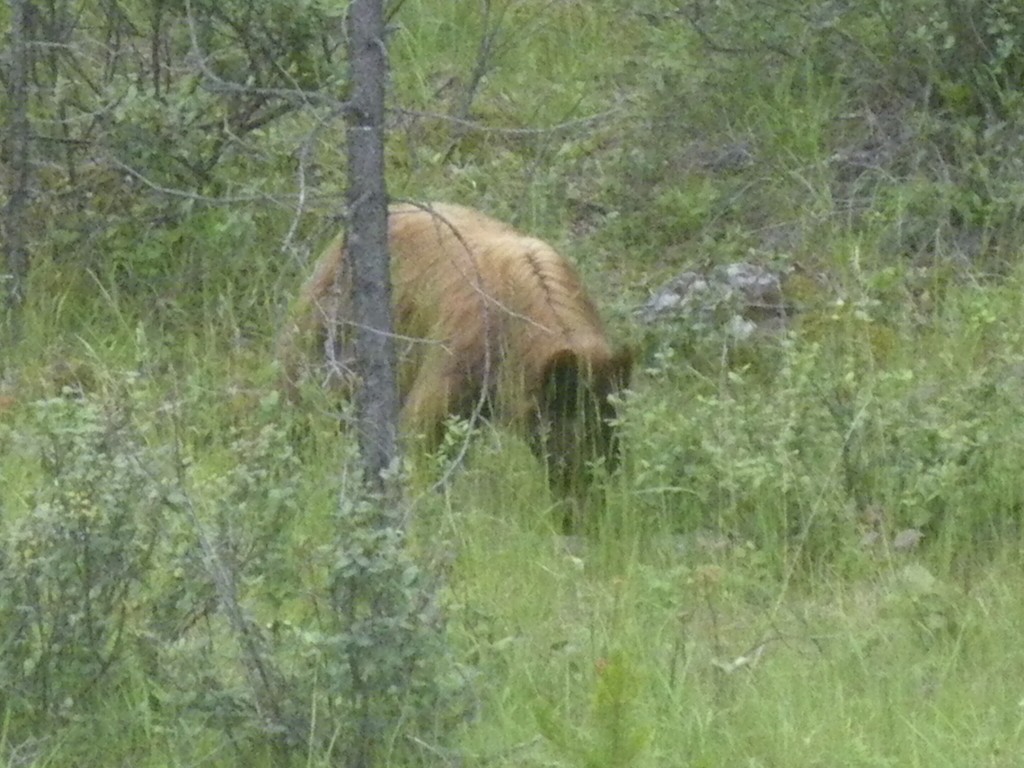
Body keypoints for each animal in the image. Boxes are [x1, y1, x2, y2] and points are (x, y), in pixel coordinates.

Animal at [280, 202, 630, 505]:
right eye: (575, 437)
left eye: (611, 431)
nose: (591, 499)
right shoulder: (463, 348)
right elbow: (423, 431)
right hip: (332, 324)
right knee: (299, 392)